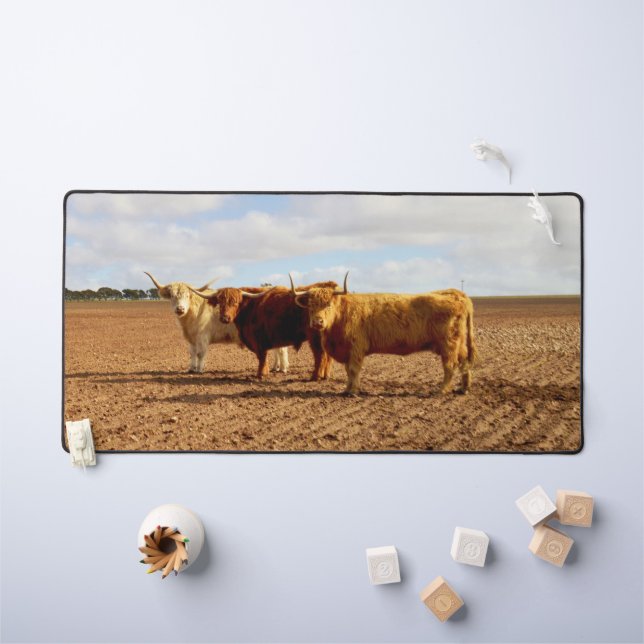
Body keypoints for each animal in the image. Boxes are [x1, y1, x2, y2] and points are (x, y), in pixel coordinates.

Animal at [144, 272, 288, 374]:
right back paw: (276, 367)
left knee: (281, 350)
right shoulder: (191, 339)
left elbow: (200, 353)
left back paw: (283, 369)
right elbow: (192, 353)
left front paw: (199, 370)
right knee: (277, 349)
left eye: (187, 296)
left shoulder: (202, 337)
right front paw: (191, 368)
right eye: (173, 296)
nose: (180, 309)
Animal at [189, 280, 339, 380]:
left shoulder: (258, 340)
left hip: (315, 336)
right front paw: (265, 372)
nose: (225, 318)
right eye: (220, 302)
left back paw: (315, 376)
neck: (249, 308)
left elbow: (262, 357)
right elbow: (263, 358)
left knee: (320, 355)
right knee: (327, 356)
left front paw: (260, 374)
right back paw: (325, 376)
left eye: (235, 302)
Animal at [290, 273, 477, 396]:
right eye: (310, 306)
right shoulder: (347, 351)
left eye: (328, 305)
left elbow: (353, 370)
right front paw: (347, 389)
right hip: (458, 343)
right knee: (464, 362)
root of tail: (456, 294)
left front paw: (353, 391)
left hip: (448, 344)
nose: (317, 322)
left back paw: (441, 390)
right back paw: (463, 388)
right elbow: (348, 371)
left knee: (450, 365)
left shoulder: (356, 348)